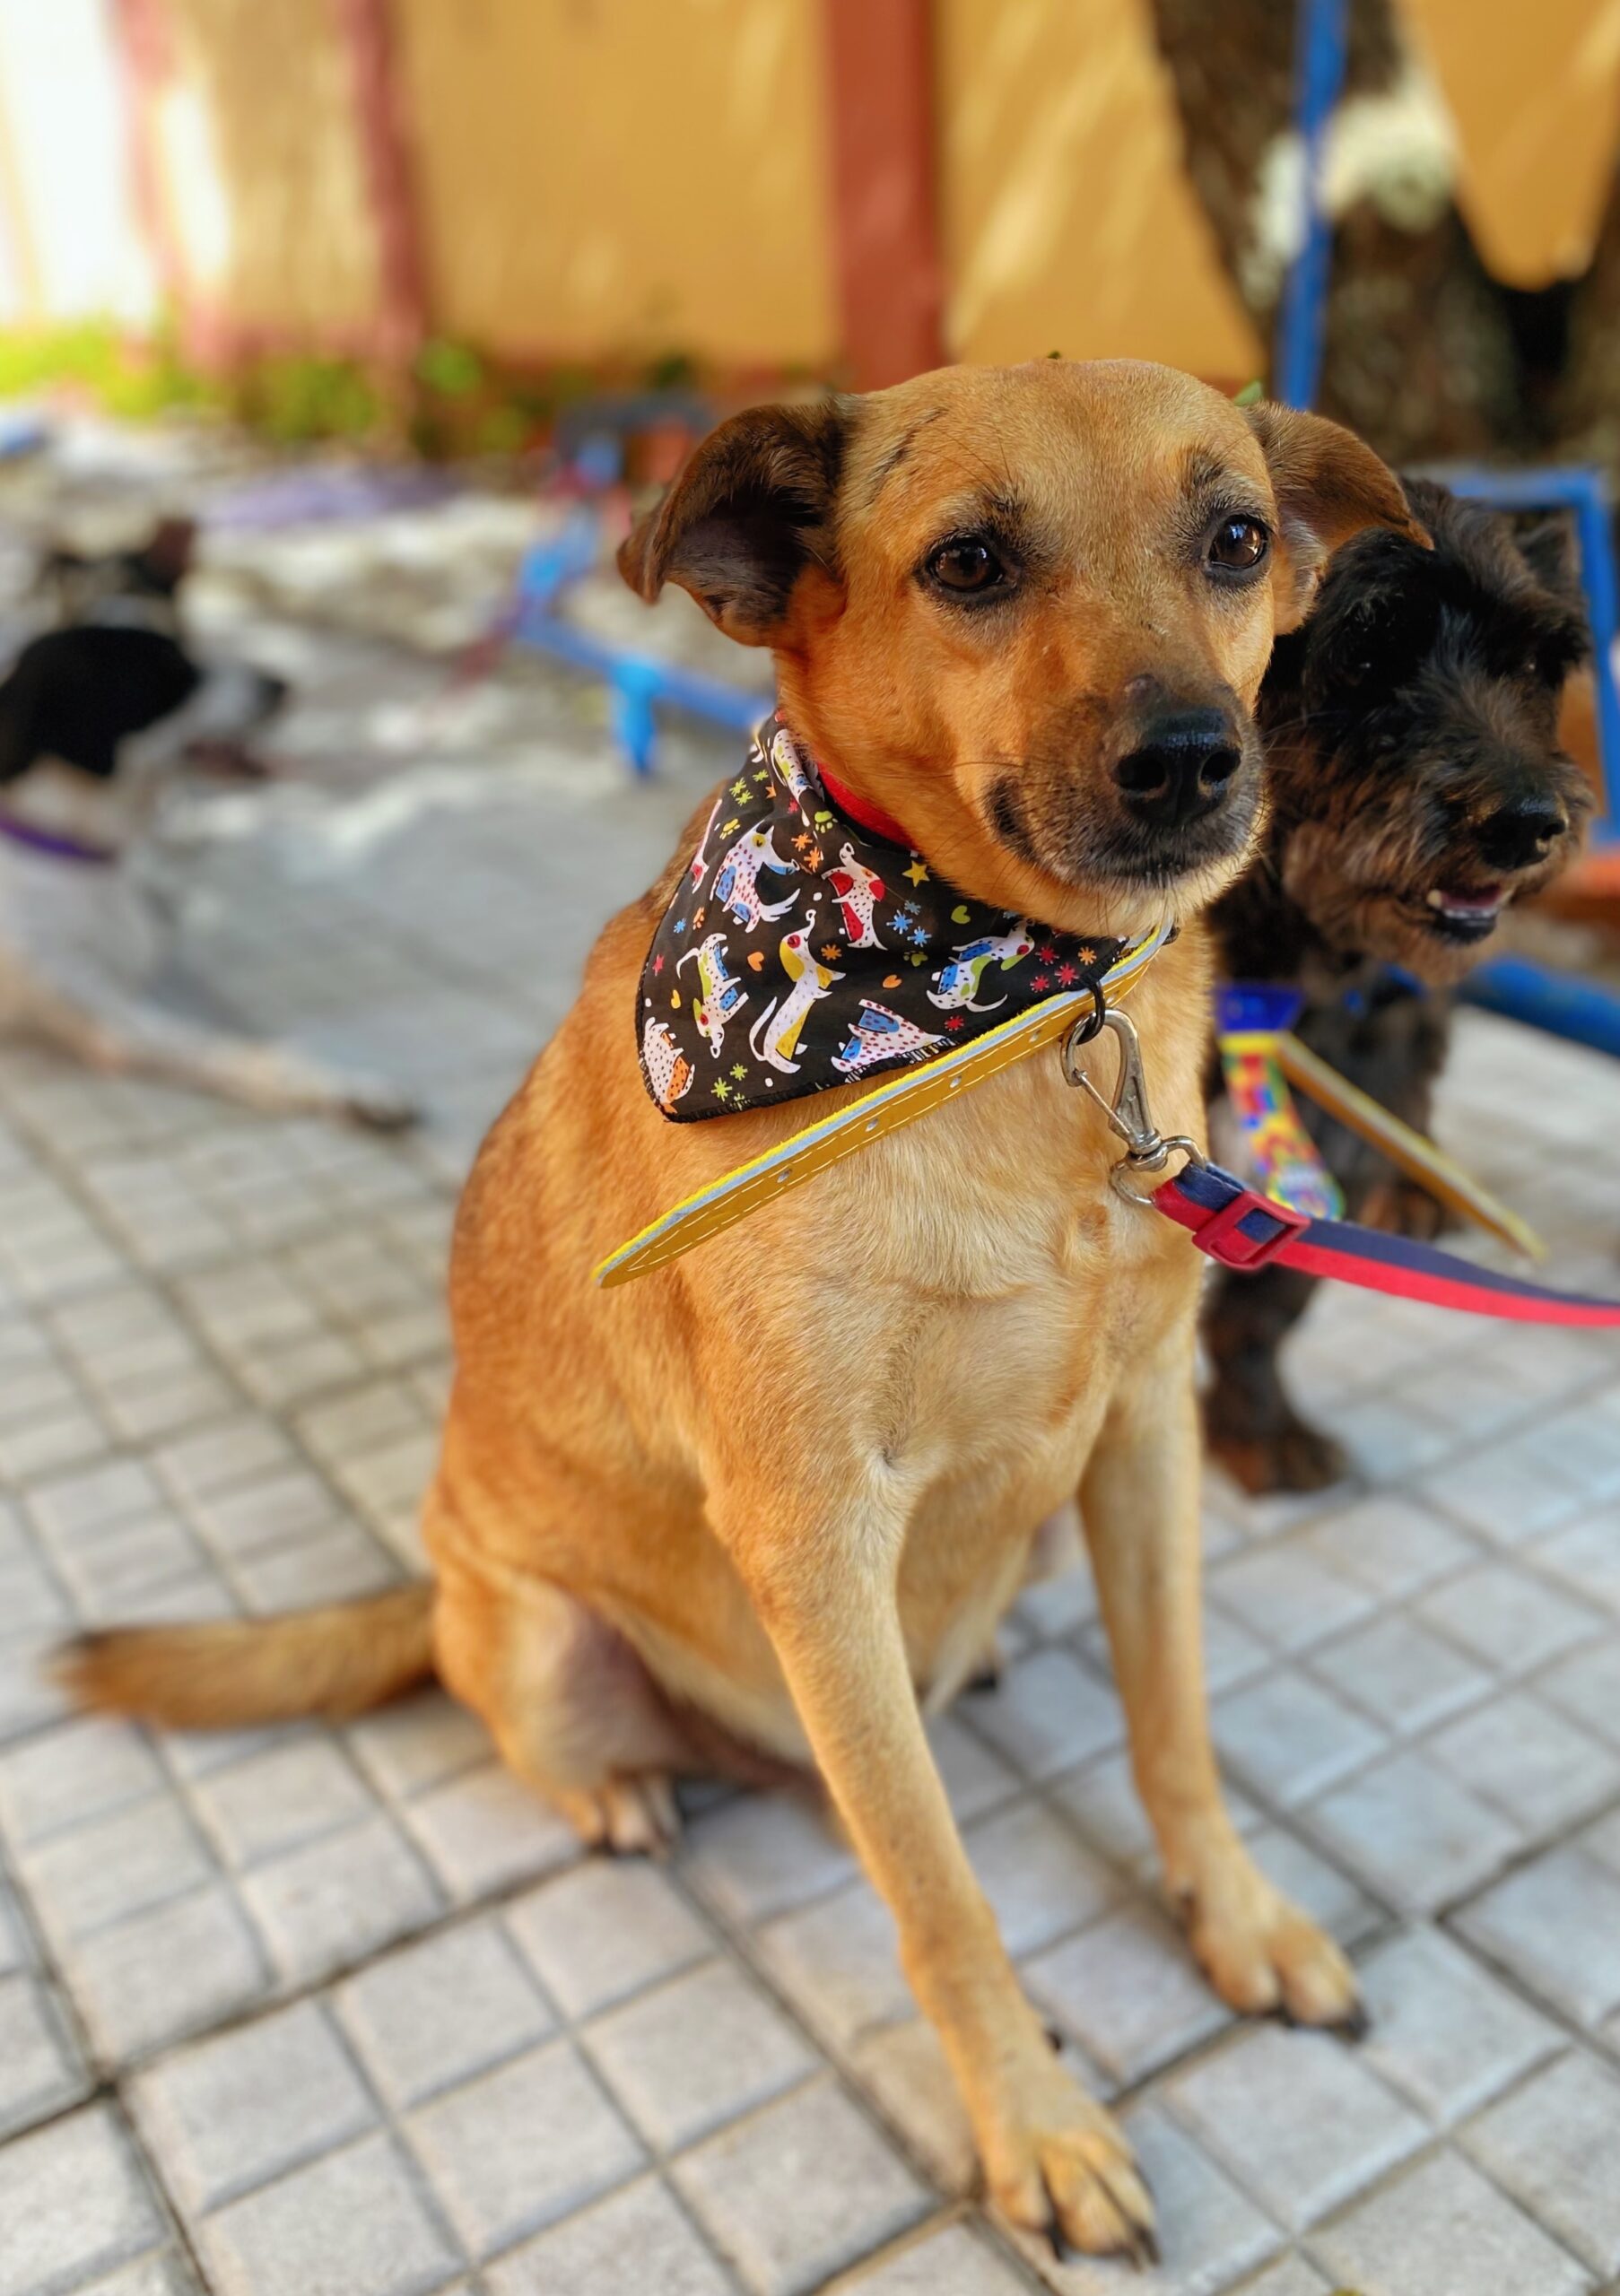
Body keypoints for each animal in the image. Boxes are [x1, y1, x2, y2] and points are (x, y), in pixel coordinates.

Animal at [0, 520, 412, 1126]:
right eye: (171, 675)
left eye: (179, 644)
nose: (280, 682)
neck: (82, 859)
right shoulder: (112, 1021)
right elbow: (250, 1052)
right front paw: (348, 1088)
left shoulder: (142, 973)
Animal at [61, 363, 1423, 2259]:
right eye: (970, 560)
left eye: (1232, 537)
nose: (1192, 762)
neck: (1007, 1017)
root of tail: (435, 1585)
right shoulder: (814, 1532)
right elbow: (938, 1891)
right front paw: (1034, 2125)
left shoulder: (1144, 1433)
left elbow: (1178, 1738)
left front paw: (1239, 1922)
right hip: (551, 1646)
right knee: (563, 1735)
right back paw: (625, 1788)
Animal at [1205, 479, 1592, 1493]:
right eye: (1367, 654)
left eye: (1532, 662)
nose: (1527, 823)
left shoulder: (1338, 1120)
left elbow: (1267, 1306)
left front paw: (1258, 1426)